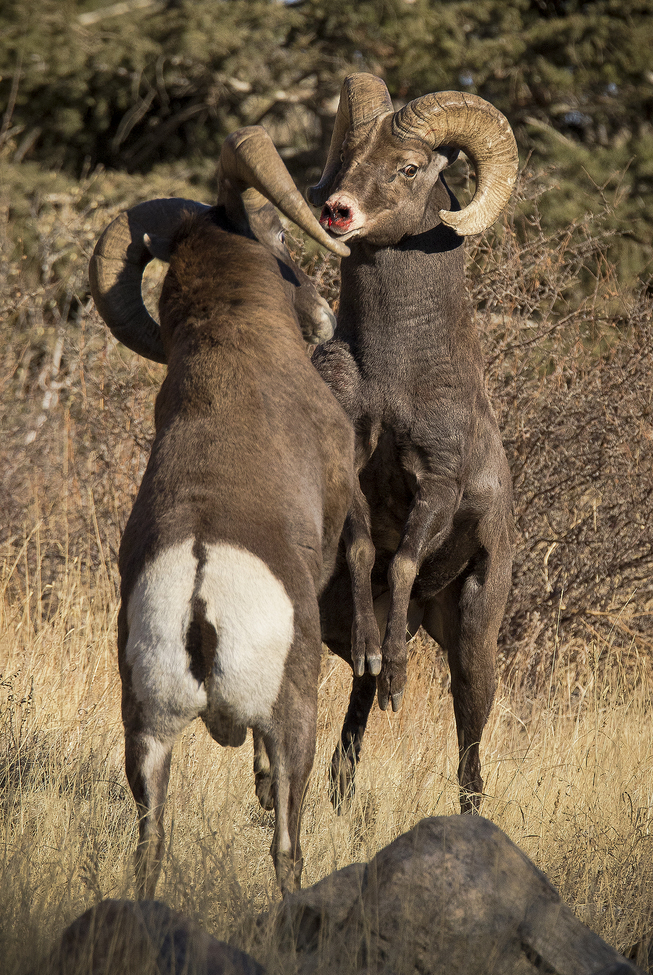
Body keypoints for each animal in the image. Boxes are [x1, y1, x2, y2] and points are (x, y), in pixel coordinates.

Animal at [89, 125, 354, 895]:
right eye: (280, 231)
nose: (323, 318)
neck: (231, 338)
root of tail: (200, 596)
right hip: (293, 721)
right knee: (286, 844)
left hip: (147, 737)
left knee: (151, 843)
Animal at [307, 74, 519, 813]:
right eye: (347, 157)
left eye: (406, 167)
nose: (337, 211)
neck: (394, 376)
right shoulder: (353, 475)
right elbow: (367, 553)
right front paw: (378, 655)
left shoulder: (437, 484)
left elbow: (399, 562)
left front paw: (398, 670)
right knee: (354, 708)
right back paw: (338, 791)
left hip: (474, 637)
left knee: (470, 733)